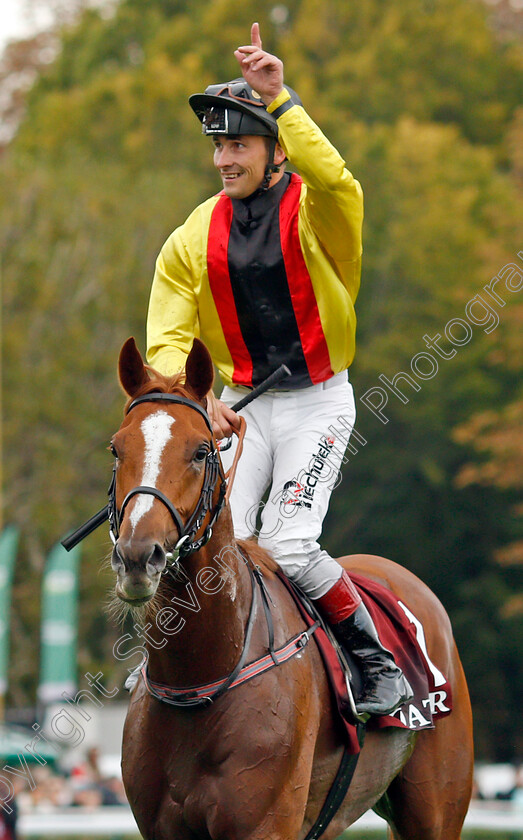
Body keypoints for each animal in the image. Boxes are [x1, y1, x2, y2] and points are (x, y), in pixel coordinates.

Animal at [110, 336, 474, 840]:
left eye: (202, 451)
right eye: (116, 449)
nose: (137, 557)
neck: (199, 678)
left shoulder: (265, 824)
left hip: (434, 806)